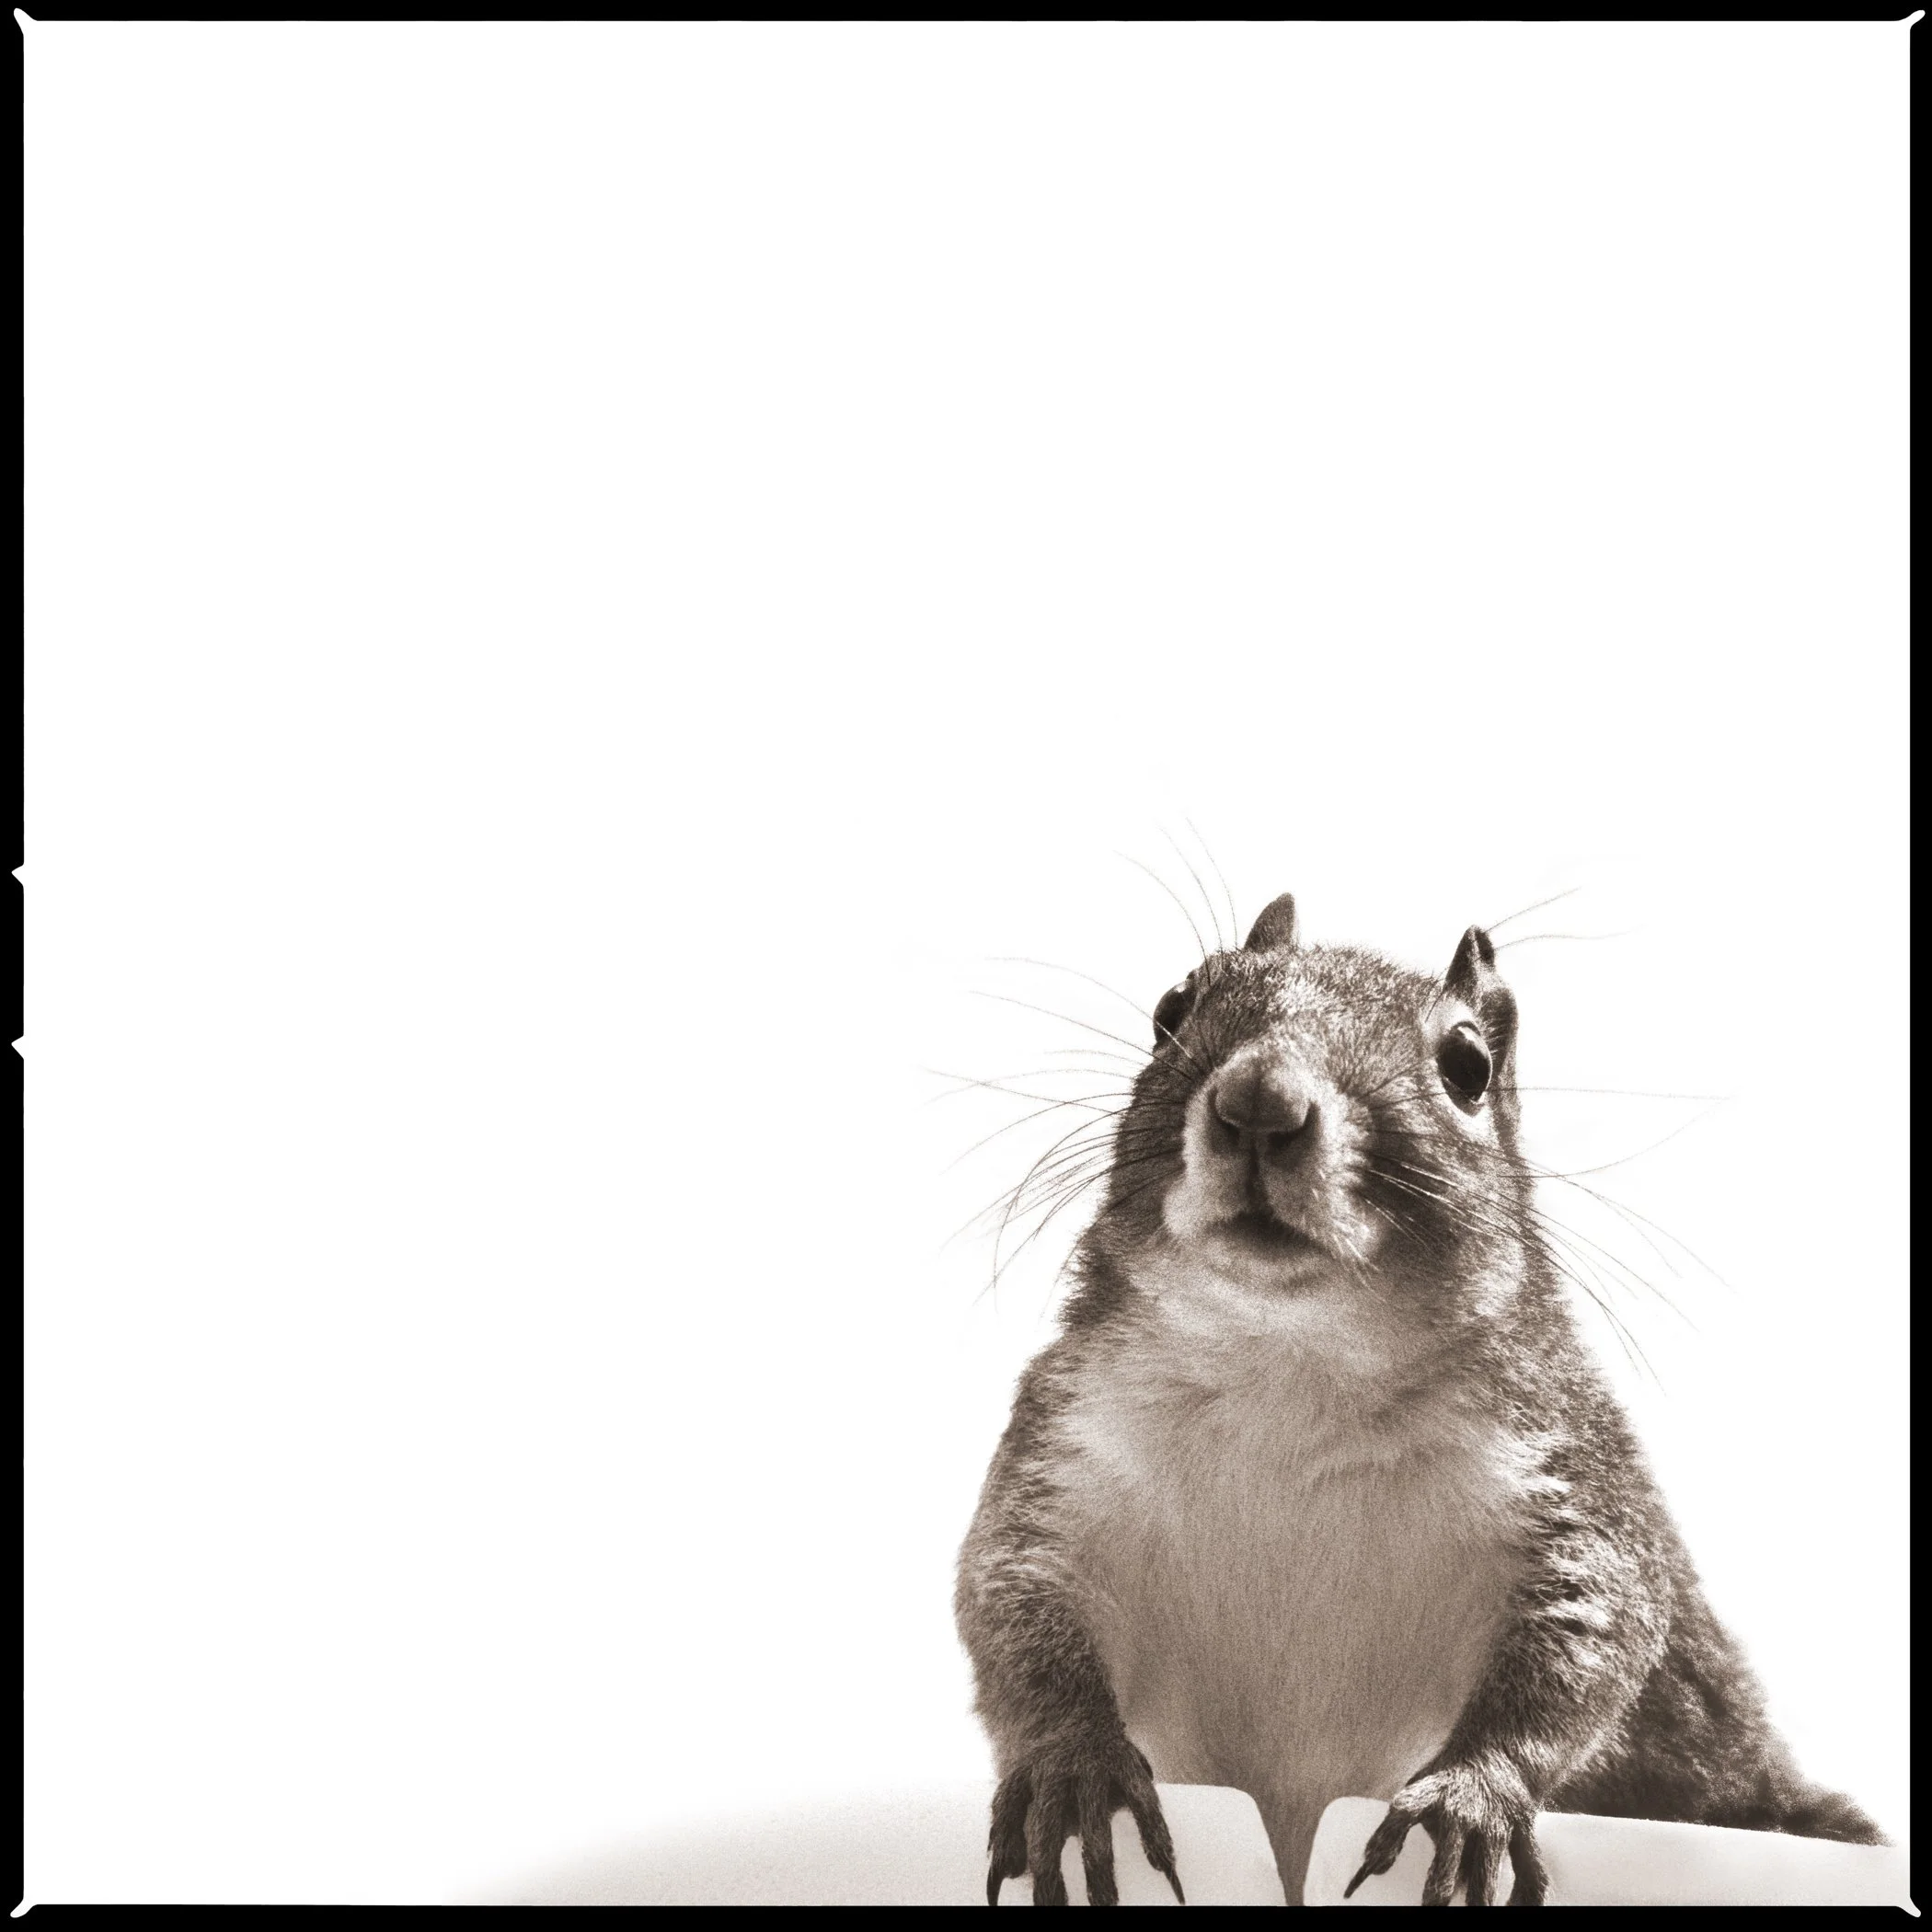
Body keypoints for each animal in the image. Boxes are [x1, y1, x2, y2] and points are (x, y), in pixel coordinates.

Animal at [955, 893, 1885, 1906]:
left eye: (1468, 1067)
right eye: (1172, 1010)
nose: (1261, 1099)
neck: (1293, 1367)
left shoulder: (1569, 1479)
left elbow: (1586, 1643)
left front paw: (1474, 1793)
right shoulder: (1065, 1463)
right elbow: (1013, 1612)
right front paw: (1075, 1762)